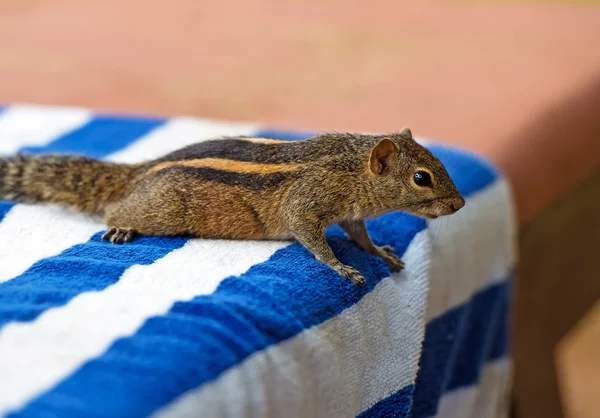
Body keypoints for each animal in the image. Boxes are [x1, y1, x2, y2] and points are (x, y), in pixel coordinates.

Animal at [0, 127, 464, 284]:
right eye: (421, 177)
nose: (459, 204)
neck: (351, 168)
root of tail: (139, 172)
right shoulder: (307, 201)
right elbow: (313, 239)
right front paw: (341, 267)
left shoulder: (350, 216)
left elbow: (361, 238)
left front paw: (381, 253)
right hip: (164, 210)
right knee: (116, 210)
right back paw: (122, 227)